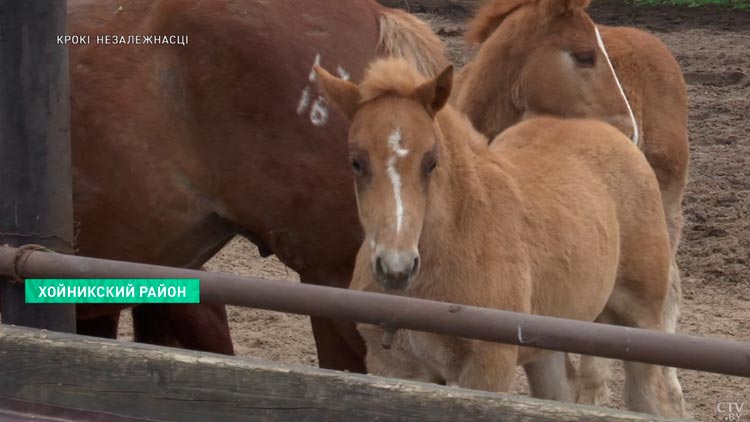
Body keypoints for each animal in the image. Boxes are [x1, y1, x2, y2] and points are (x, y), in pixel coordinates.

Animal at [316, 57, 688, 418]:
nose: (397, 268)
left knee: (651, 398)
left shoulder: (486, 367)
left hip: (640, 320)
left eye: (431, 161)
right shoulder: (393, 365)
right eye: (356, 162)